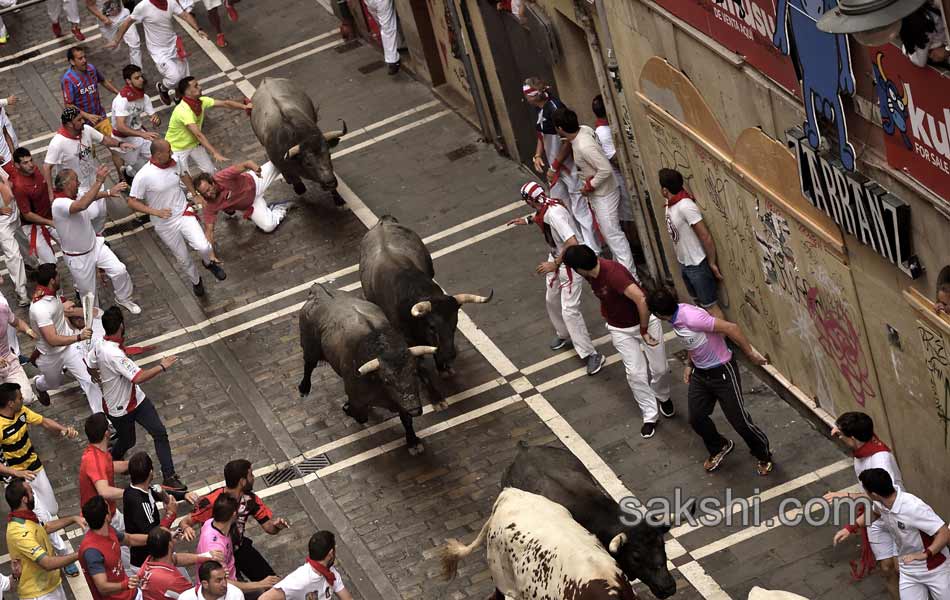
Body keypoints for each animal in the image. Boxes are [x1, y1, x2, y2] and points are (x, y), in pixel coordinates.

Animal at [298, 282, 442, 454]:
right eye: (387, 381)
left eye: (414, 373)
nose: (414, 409)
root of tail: (318, 289)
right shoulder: (357, 398)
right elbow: (360, 415)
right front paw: (347, 408)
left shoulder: (401, 402)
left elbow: (406, 420)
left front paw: (413, 441)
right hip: (310, 347)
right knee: (308, 365)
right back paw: (304, 388)